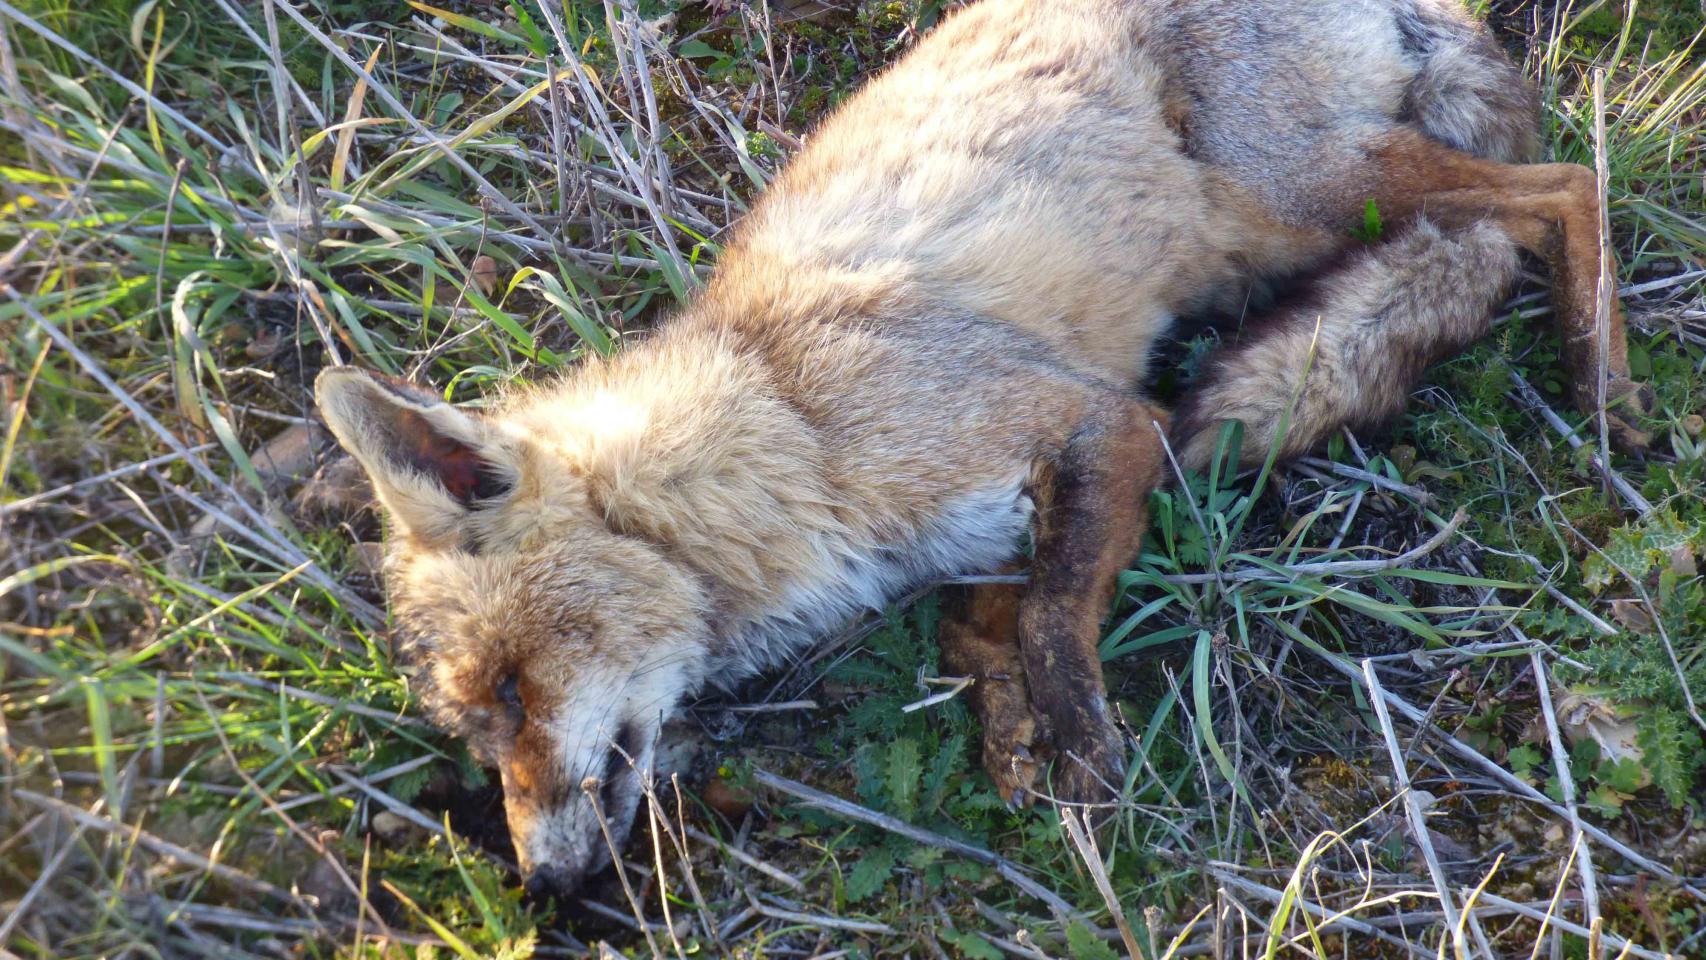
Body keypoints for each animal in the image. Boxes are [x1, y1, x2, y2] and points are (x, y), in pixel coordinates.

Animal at [313, 0, 1644, 893]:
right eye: (478, 729)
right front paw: (1014, 745)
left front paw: (1088, 759)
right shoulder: (989, 525)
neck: (783, 424)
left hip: (1300, 193)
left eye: (511, 690)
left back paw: (1602, 390)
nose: (542, 880)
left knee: (1563, 188)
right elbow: (986, 632)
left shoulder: (1099, 423)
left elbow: (1054, 618)